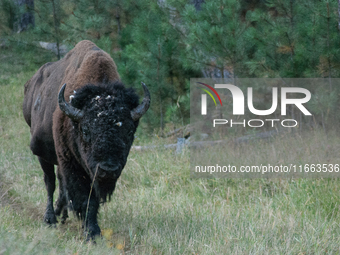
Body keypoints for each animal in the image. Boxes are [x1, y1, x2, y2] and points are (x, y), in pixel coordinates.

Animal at [23, 39, 151, 239]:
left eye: (130, 131)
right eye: (85, 130)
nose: (108, 169)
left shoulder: (91, 172)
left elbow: (91, 198)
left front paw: (92, 229)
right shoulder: (72, 163)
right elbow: (84, 197)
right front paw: (90, 232)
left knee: (60, 182)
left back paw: (63, 214)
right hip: (41, 152)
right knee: (50, 182)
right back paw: (50, 218)